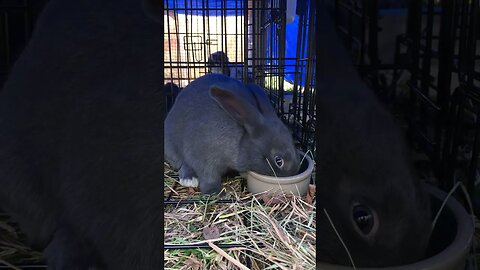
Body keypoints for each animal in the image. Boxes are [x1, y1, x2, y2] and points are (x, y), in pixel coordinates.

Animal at [165, 74, 300, 194]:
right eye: (279, 161)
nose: (293, 174)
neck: (241, 139)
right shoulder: (205, 158)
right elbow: (209, 177)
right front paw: (216, 193)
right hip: (173, 148)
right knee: (182, 163)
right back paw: (189, 179)